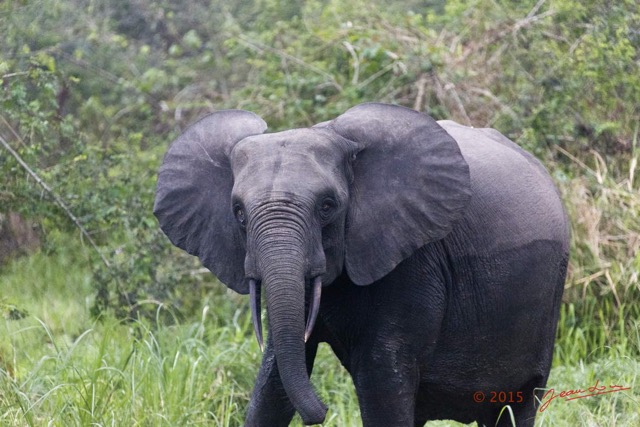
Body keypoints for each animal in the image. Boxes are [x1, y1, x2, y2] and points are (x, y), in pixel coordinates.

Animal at [154, 102, 568, 426]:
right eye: (238, 212)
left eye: (327, 206)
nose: (322, 413)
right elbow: (272, 381)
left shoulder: (413, 259)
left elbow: (382, 377)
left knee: (516, 406)